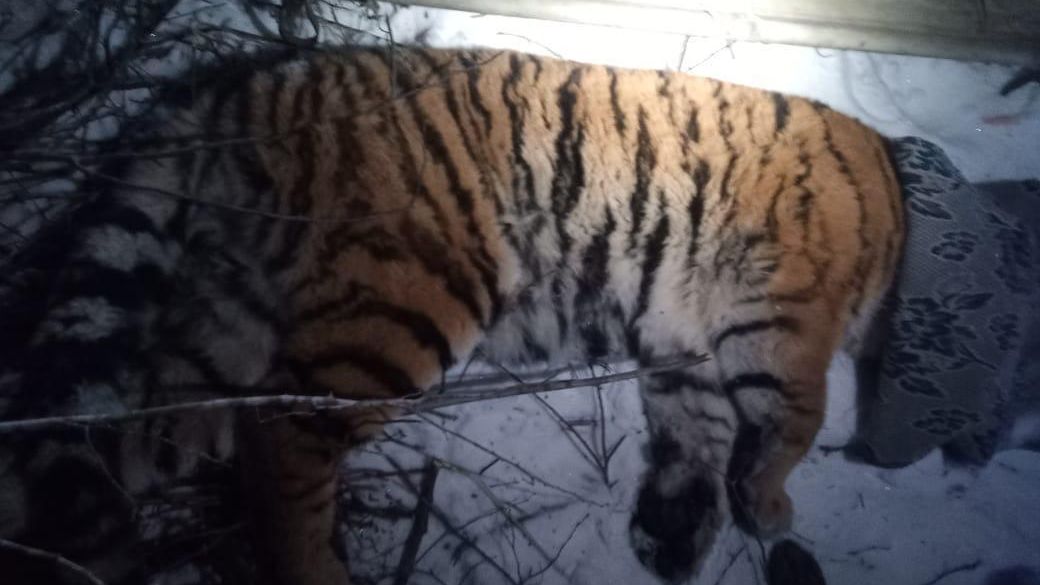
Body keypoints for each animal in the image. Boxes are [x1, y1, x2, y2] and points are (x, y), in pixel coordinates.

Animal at [0, 45, 904, 584]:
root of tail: (243, 88)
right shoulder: (784, 310)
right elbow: (795, 414)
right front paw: (770, 506)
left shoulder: (685, 344)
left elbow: (700, 434)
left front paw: (674, 533)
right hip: (406, 303)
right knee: (282, 435)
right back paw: (316, 571)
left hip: (228, 328)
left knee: (113, 441)